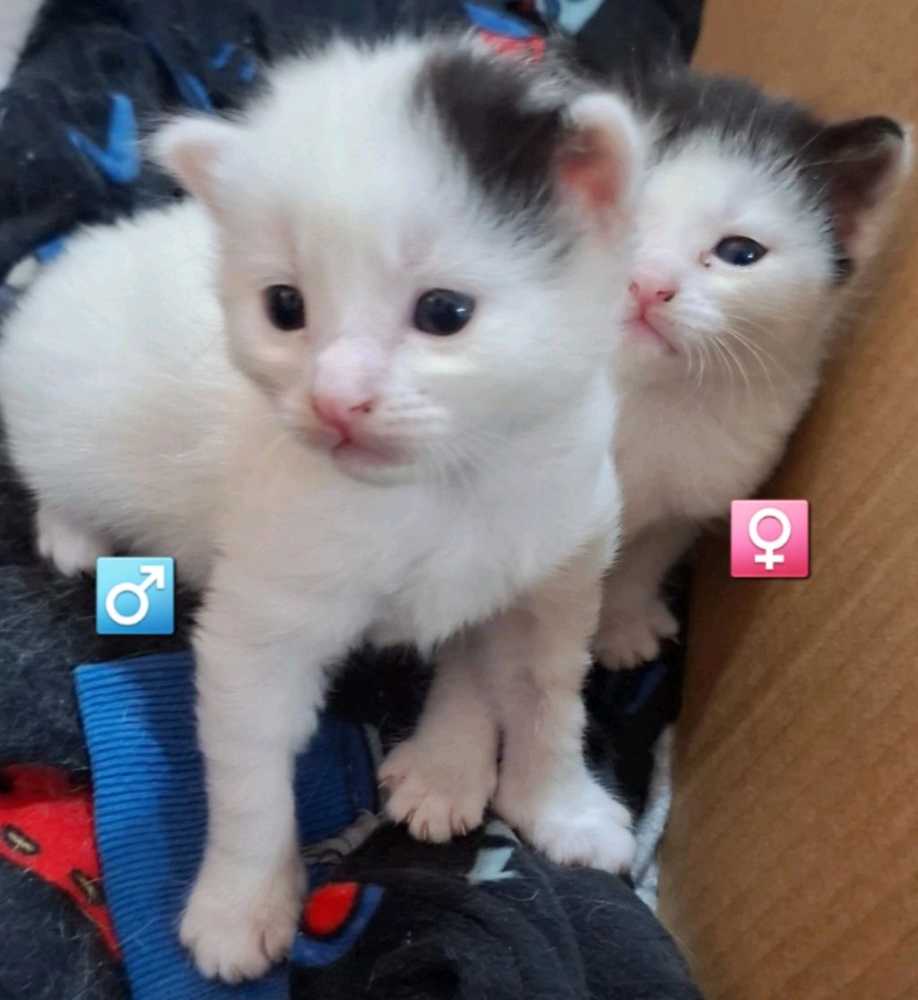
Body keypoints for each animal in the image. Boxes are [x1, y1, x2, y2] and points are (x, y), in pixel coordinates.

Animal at [0, 35, 643, 982]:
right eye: (285, 307)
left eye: (444, 312)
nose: (335, 402)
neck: (443, 484)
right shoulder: (262, 615)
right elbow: (252, 771)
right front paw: (240, 905)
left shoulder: (561, 557)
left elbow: (541, 689)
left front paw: (554, 802)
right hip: (50, 412)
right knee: (51, 471)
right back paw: (72, 531)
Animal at [380, 67, 910, 857]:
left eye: (740, 252)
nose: (647, 283)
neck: (634, 400)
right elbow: (475, 649)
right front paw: (445, 773)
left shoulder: (704, 478)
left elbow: (646, 551)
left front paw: (624, 621)